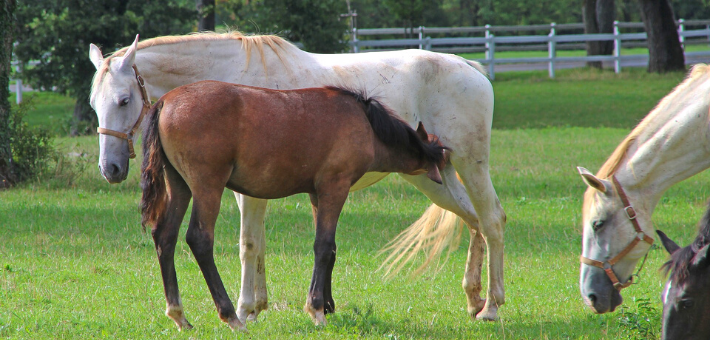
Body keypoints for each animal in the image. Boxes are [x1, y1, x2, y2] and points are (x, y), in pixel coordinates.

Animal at [141, 79, 448, 330]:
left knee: (165, 237)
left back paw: (179, 315)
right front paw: (316, 309)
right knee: (199, 239)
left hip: (179, 186)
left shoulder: (316, 195)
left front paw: (327, 304)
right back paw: (231, 316)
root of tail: (166, 101)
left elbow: (329, 249)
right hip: (208, 187)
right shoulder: (335, 188)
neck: (365, 123)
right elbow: (323, 246)